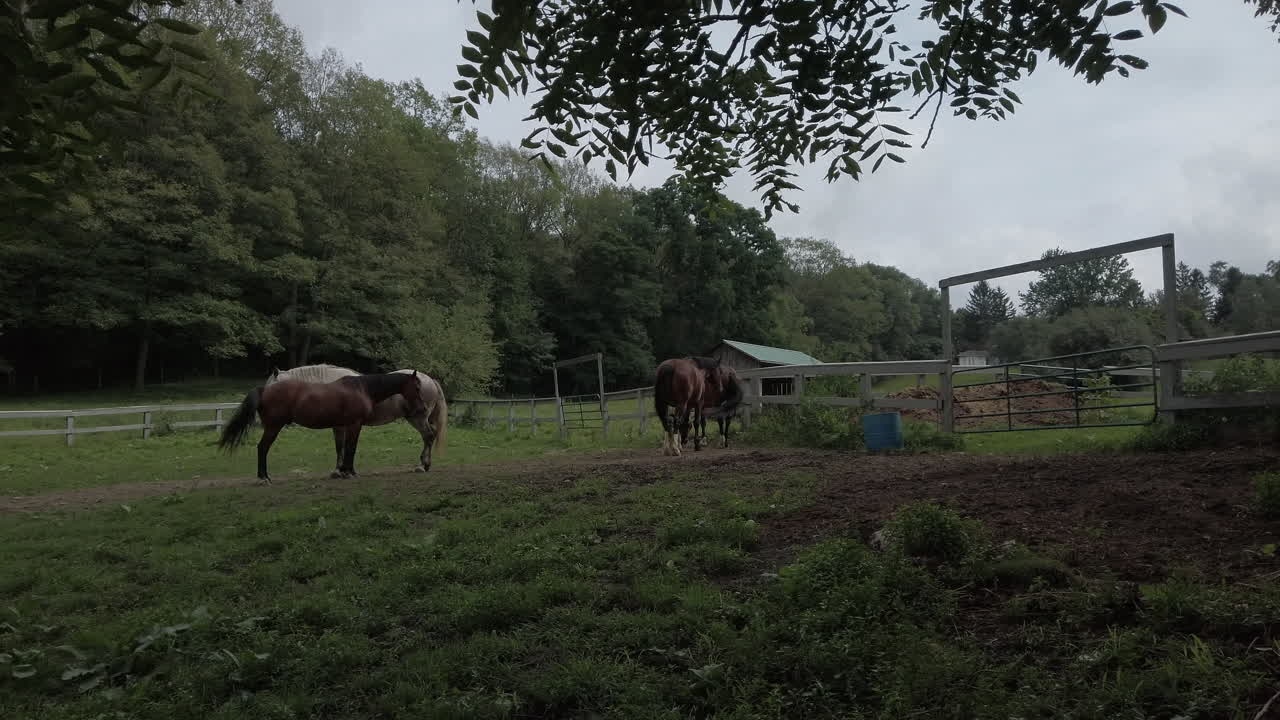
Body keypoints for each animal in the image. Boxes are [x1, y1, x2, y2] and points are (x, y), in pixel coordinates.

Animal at [218, 370, 426, 484]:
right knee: (262, 448)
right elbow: (351, 448)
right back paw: (264, 478)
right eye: (416, 388)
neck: (362, 389)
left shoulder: (344, 426)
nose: (422, 408)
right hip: (273, 427)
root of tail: (264, 390)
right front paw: (349, 472)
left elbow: (344, 448)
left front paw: (344, 471)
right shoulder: (355, 424)